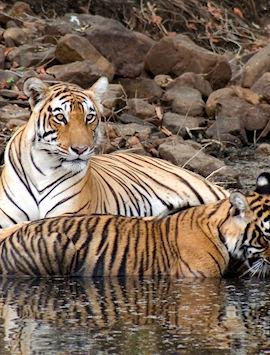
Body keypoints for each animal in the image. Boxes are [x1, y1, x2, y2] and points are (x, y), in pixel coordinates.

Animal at [0, 77, 228, 228]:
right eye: (60, 117)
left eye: (89, 117)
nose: (81, 149)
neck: (44, 167)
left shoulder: (68, 215)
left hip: (206, 190)